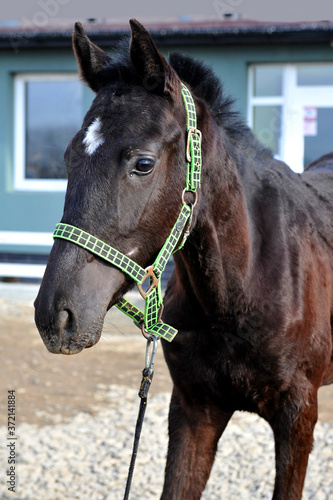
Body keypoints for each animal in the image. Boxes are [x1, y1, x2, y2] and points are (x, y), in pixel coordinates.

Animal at [34, 18, 332, 496]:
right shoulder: (194, 410)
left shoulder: (299, 419)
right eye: (67, 157)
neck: (241, 290)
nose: (55, 315)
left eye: (143, 163)